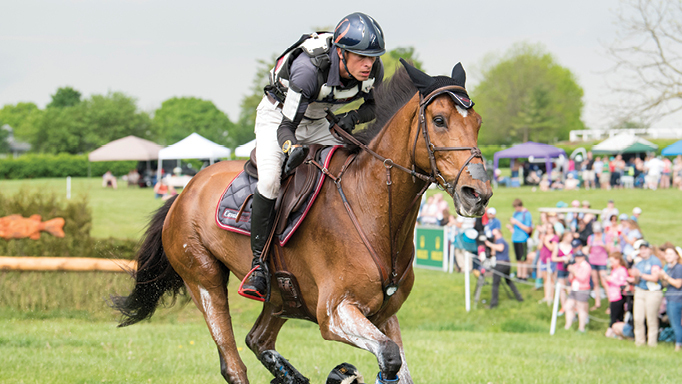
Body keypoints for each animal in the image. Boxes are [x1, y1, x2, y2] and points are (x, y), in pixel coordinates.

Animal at [114, 59, 492, 380]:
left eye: (477, 123)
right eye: (440, 120)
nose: (478, 193)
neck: (372, 209)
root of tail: (186, 190)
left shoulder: (384, 314)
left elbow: (400, 366)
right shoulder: (336, 313)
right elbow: (389, 357)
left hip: (282, 297)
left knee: (258, 340)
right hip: (203, 279)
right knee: (233, 363)